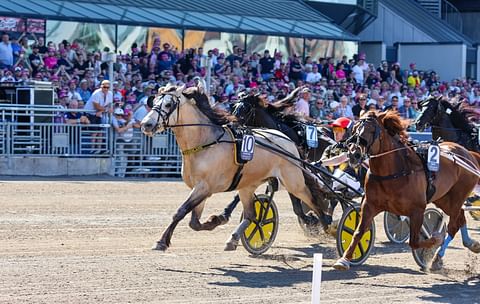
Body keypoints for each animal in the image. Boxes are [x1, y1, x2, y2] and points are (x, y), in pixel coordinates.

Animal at [141, 83, 328, 252]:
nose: (146, 124)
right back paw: (233, 239)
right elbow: (194, 222)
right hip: (249, 185)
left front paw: (161, 242)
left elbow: (180, 211)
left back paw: (325, 224)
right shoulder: (200, 189)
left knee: (312, 200)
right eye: (154, 101)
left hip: (293, 182)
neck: (205, 143)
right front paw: (214, 221)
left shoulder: (203, 188)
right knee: (251, 215)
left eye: (168, 104)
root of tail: (289, 141)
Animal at [334, 111, 480, 270]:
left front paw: (436, 239)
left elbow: (415, 241)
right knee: (460, 217)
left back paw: (437, 258)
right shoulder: (369, 205)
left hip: (457, 197)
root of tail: (469, 154)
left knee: (453, 225)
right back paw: (469, 244)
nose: (354, 154)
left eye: (372, 131)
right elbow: (358, 232)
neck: (394, 171)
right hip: (444, 199)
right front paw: (344, 259)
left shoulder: (417, 210)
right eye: (354, 129)